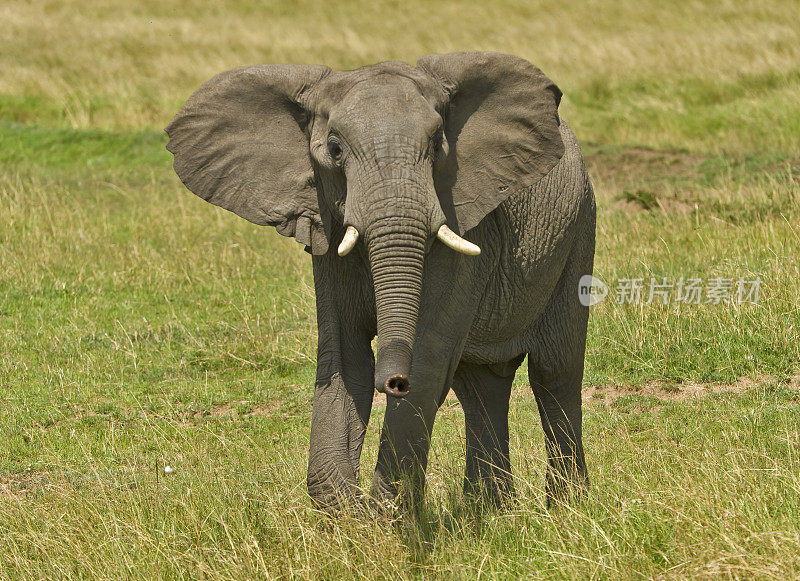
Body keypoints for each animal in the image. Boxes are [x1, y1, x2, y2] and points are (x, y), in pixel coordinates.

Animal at [167, 52, 592, 510]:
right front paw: (347, 512)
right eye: (334, 150)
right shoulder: (328, 230)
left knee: (554, 372)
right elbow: (344, 357)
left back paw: (567, 509)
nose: (393, 382)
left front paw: (385, 513)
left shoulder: (463, 226)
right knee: (480, 385)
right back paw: (493, 511)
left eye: (438, 147)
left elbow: (427, 360)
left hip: (578, 232)